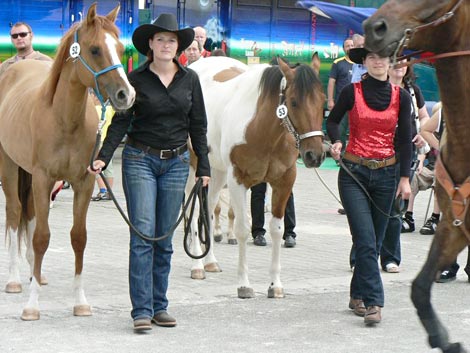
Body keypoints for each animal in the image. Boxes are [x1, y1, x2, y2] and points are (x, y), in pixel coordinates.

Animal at [0, 2, 136, 320]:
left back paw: (34, 275)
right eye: (96, 49)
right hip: (10, 166)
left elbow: (78, 237)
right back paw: (14, 280)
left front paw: (80, 301)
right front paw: (32, 306)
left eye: (120, 47)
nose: (127, 95)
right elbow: (41, 237)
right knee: (14, 213)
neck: (64, 119)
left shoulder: (84, 181)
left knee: (30, 214)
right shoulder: (43, 178)